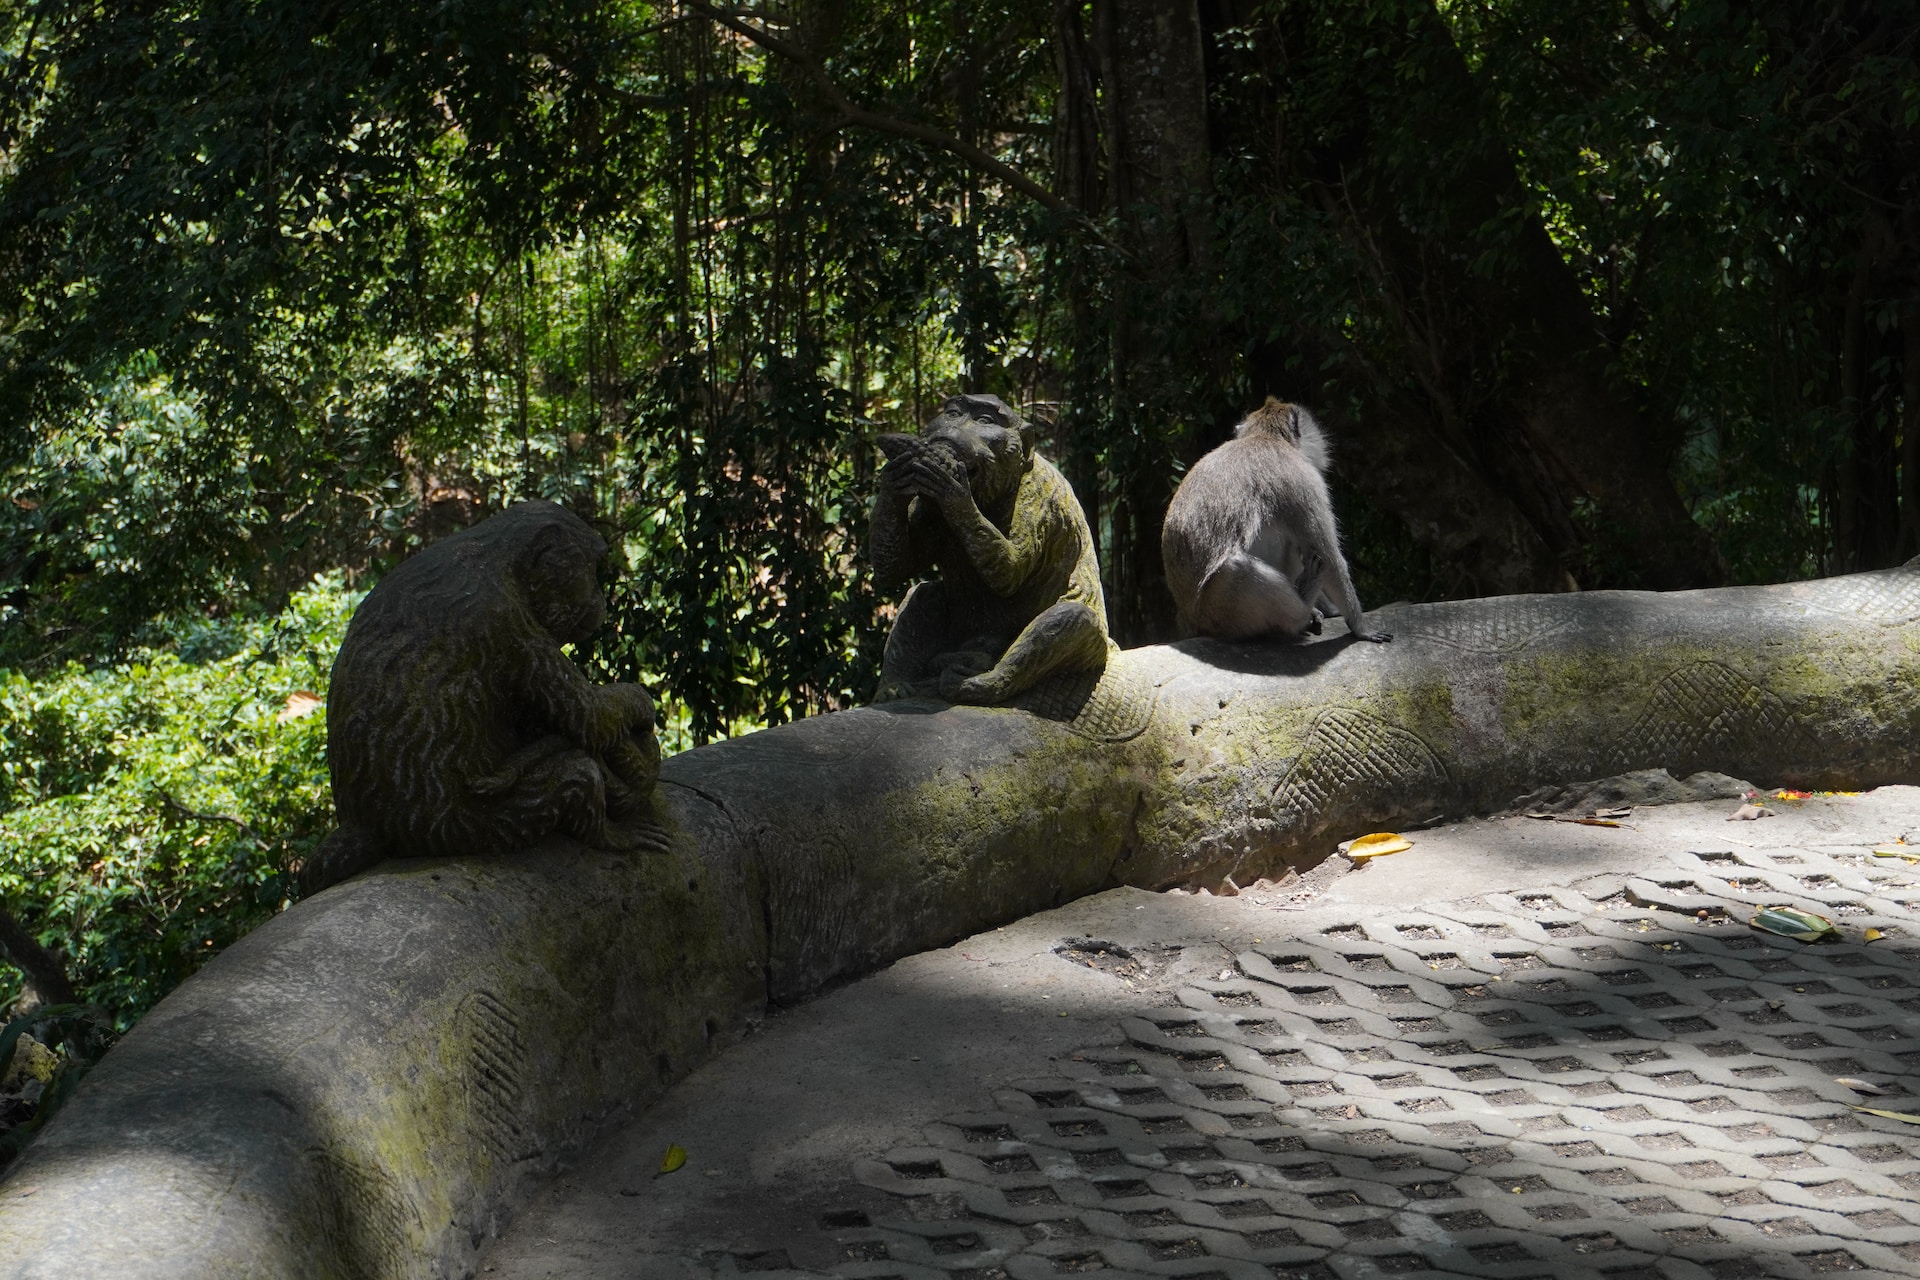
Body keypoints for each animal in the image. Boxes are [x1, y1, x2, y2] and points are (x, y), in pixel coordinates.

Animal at [1159, 397, 1390, 644]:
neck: (1265, 436)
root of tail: (1189, 620)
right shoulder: (1302, 479)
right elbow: (1329, 556)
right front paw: (1361, 627)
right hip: (1218, 612)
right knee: (1238, 569)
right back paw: (1303, 609)